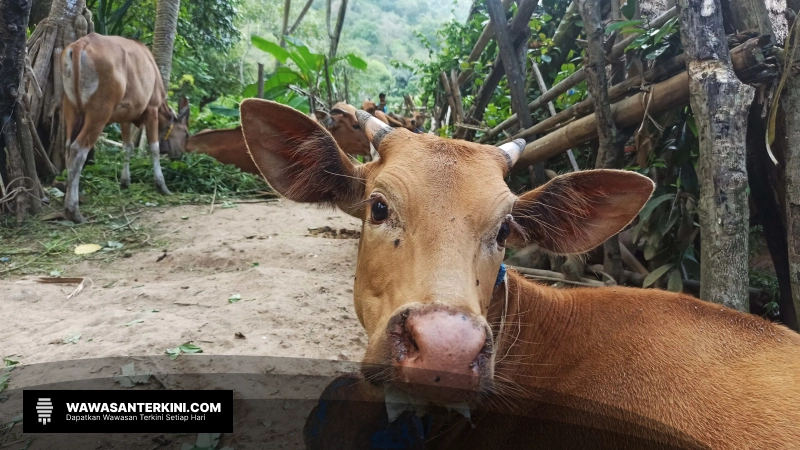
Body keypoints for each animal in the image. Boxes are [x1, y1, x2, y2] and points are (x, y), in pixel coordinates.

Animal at [61, 34, 189, 224]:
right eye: (186, 134)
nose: (180, 157)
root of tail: (81, 43)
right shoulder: (152, 109)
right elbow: (154, 148)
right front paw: (162, 185)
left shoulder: (125, 115)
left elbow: (127, 147)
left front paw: (125, 181)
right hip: (99, 111)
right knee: (78, 150)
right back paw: (74, 211)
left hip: (71, 108)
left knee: (68, 148)